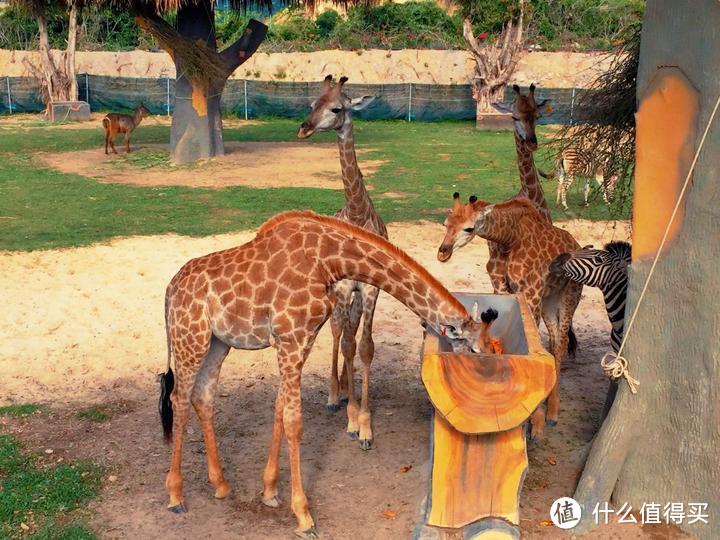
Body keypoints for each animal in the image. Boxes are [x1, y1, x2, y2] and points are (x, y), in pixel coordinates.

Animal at [436, 196, 584, 440]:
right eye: (445, 223)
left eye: (469, 228)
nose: (443, 252)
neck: (509, 238)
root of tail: (577, 245)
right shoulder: (502, 287)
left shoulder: (531, 291)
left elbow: (532, 344)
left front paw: (536, 425)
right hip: (549, 300)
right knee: (554, 341)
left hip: (568, 296)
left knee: (560, 343)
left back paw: (552, 414)